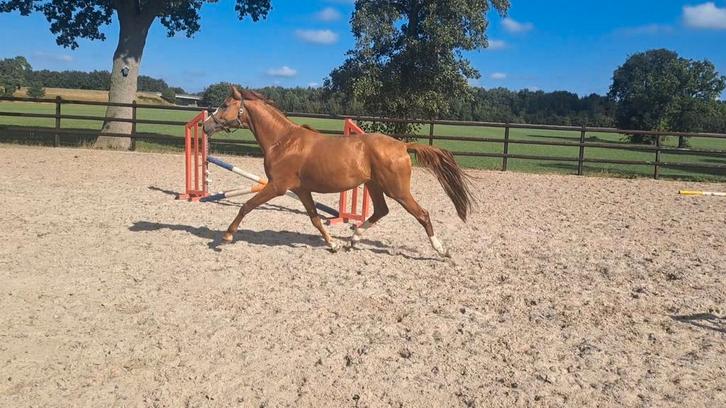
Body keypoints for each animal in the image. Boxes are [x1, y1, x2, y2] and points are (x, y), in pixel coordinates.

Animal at [202, 86, 474, 257]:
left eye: (224, 105)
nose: (205, 126)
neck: (283, 141)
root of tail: (402, 145)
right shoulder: (301, 190)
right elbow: (315, 218)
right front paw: (332, 245)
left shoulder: (277, 187)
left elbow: (246, 205)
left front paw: (226, 237)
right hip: (374, 186)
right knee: (381, 211)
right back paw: (352, 240)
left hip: (397, 190)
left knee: (422, 214)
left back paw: (441, 250)